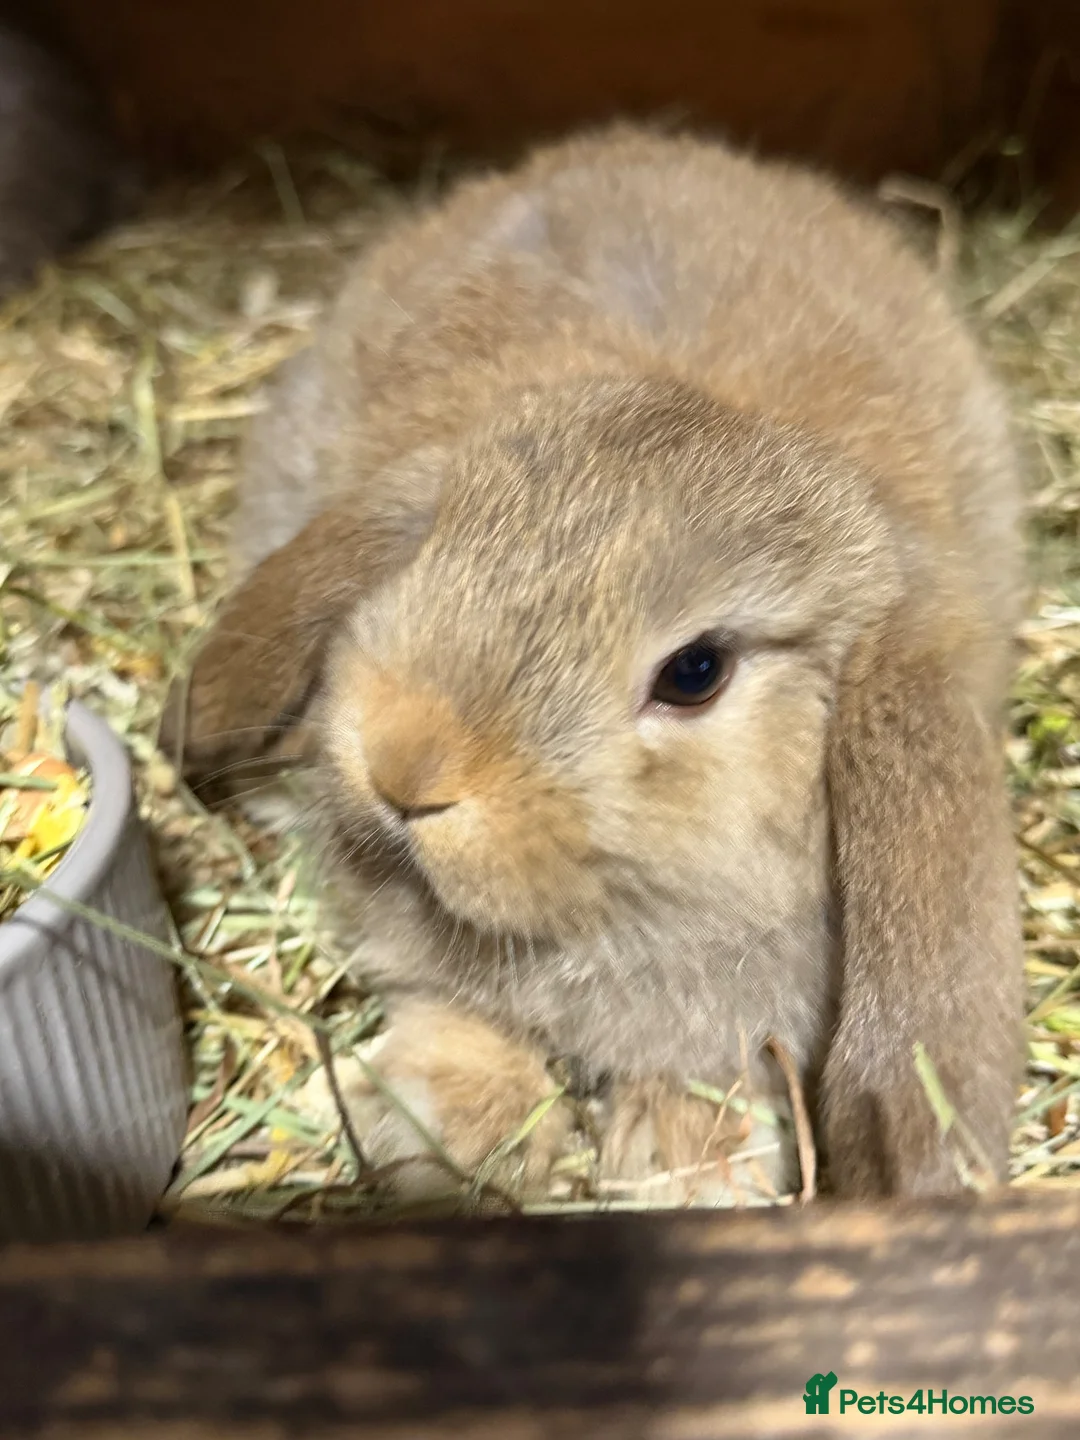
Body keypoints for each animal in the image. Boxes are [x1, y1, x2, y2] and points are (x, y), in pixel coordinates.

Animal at [167, 123, 1026, 1203]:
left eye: (694, 672)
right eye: (435, 544)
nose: (403, 766)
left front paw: (685, 1166)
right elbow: (456, 1016)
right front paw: (433, 1126)